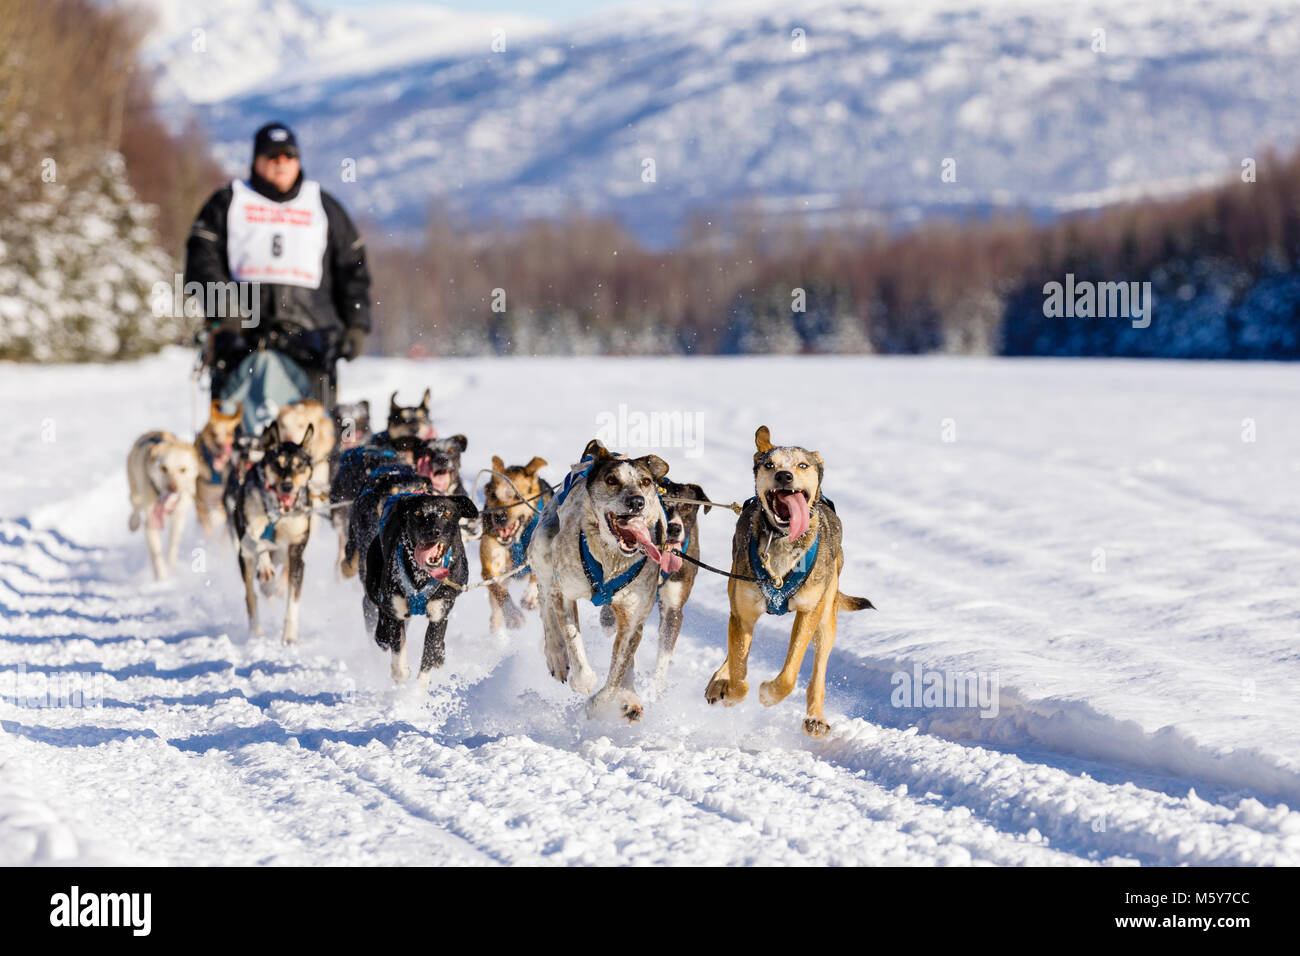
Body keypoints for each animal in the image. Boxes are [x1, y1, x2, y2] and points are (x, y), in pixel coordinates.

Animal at [126, 431, 200, 580]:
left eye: (183, 469)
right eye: (164, 468)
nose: (173, 488)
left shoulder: (178, 518)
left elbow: (172, 547)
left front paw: (170, 568)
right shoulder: (151, 523)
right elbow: (156, 557)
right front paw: (161, 580)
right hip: (136, 490)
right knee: (135, 504)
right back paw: (134, 522)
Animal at [707, 426, 878, 738]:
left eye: (802, 465)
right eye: (769, 465)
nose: (784, 476)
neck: (782, 540)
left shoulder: (809, 611)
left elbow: (790, 672)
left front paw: (768, 693)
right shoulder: (743, 612)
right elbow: (739, 667)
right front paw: (732, 690)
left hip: (827, 614)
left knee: (819, 669)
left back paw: (815, 717)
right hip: (735, 598)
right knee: (734, 648)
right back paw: (720, 681)